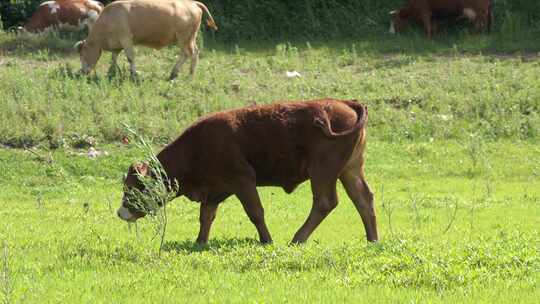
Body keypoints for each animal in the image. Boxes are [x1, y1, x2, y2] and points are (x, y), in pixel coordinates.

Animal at [75, 0, 217, 79]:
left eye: (83, 55)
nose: (81, 72)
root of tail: (192, 2)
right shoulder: (117, 44)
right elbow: (114, 58)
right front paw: (112, 72)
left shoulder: (126, 39)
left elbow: (130, 58)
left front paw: (134, 75)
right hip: (185, 39)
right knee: (186, 54)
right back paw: (174, 73)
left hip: (185, 38)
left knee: (192, 54)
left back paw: (189, 76)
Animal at [117, 99, 380, 245]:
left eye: (133, 187)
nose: (121, 213)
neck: (199, 145)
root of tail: (344, 103)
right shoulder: (214, 190)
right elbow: (206, 216)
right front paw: (200, 241)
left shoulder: (243, 180)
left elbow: (255, 212)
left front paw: (266, 240)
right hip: (350, 170)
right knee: (363, 199)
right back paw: (373, 239)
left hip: (323, 171)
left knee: (325, 202)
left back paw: (297, 238)